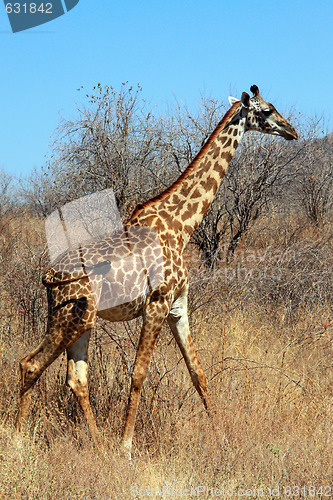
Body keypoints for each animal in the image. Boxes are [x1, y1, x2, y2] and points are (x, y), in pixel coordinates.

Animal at [15, 85, 296, 454]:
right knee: (30, 364)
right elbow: (138, 373)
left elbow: (197, 372)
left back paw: (97, 445)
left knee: (77, 379)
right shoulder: (157, 304)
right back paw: (18, 442)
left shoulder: (178, 306)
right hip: (69, 318)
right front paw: (125, 447)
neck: (181, 225)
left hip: (82, 320)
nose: (292, 131)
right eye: (266, 111)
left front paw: (221, 437)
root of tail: (48, 277)